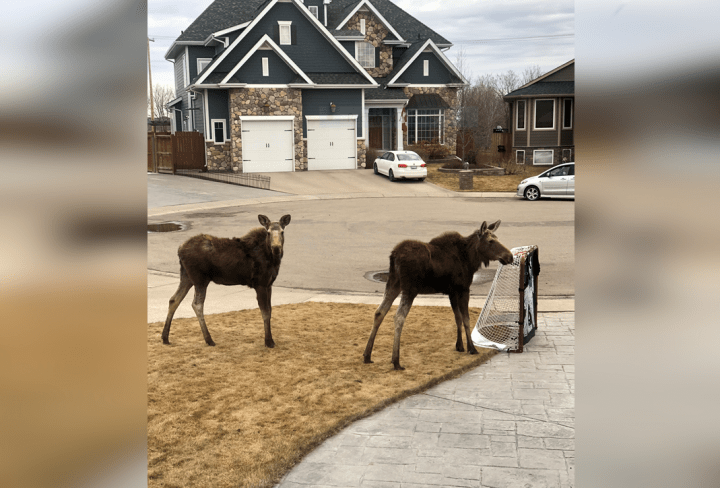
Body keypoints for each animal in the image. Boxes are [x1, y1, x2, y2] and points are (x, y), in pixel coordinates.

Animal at [161, 214, 291, 348]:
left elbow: (270, 311)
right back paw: (209, 339)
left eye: (282, 231)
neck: (272, 259)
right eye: (268, 232)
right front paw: (268, 341)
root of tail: (179, 250)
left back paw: (165, 337)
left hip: (187, 277)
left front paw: (270, 340)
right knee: (197, 304)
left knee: (174, 300)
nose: (276, 248)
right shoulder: (260, 284)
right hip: (200, 279)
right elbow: (265, 312)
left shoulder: (269, 284)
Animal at [363, 220, 514, 370]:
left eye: (497, 238)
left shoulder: (452, 292)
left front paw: (459, 346)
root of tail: (394, 256)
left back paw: (367, 355)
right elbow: (466, 318)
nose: (510, 257)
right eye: (490, 241)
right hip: (410, 288)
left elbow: (457, 318)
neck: (470, 259)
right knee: (399, 317)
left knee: (379, 312)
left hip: (394, 283)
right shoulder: (463, 289)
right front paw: (471, 348)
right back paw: (396, 361)